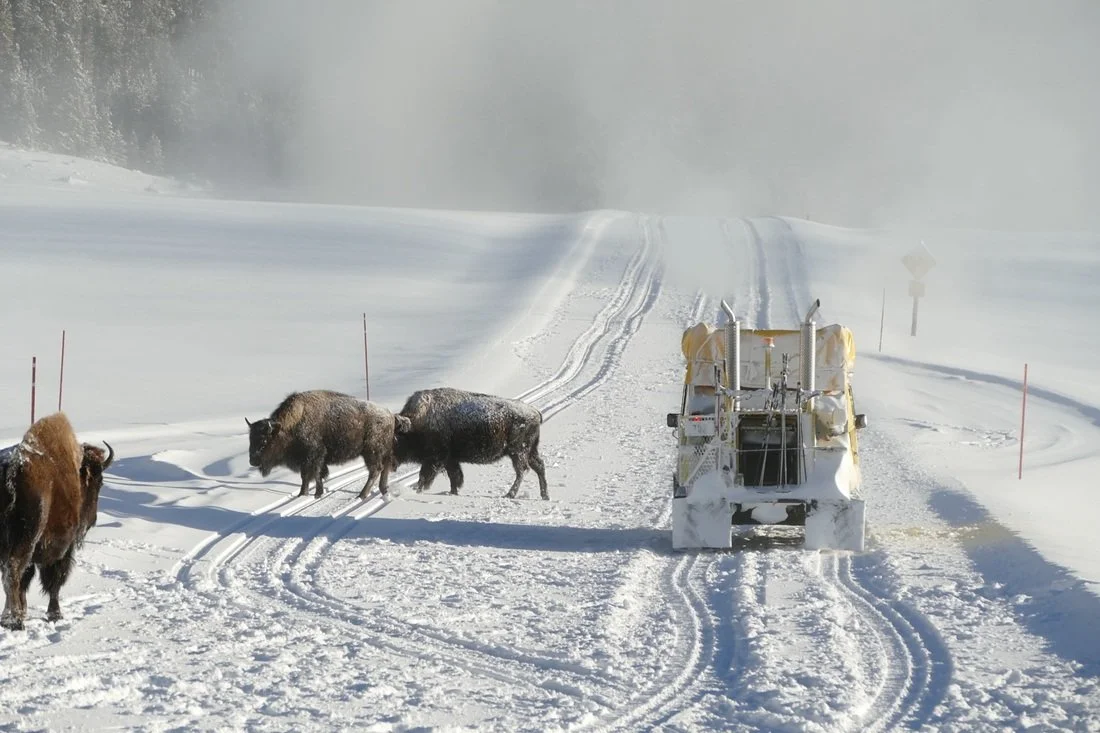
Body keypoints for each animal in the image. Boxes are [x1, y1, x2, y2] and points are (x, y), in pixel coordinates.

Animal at [0, 412, 113, 630]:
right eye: (99, 482)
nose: (92, 521)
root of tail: (12, 470)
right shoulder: (64, 549)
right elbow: (55, 582)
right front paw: (55, 614)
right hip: (26, 541)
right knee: (13, 571)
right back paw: (14, 620)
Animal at [246, 390, 408, 499]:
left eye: (264, 441)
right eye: (250, 439)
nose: (253, 461)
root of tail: (391, 415)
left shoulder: (313, 456)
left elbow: (312, 475)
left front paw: (311, 494)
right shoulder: (312, 459)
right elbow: (312, 476)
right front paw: (309, 493)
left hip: (371, 451)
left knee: (375, 470)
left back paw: (361, 495)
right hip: (382, 451)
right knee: (385, 468)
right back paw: (383, 490)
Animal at [394, 387, 549, 500]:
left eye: (396, 438)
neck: (415, 423)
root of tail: (535, 412)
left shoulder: (435, 459)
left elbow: (425, 476)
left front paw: (417, 491)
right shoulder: (450, 459)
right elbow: (454, 476)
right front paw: (452, 492)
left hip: (518, 451)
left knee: (523, 470)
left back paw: (509, 494)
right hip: (529, 451)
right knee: (538, 466)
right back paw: (544, 496)